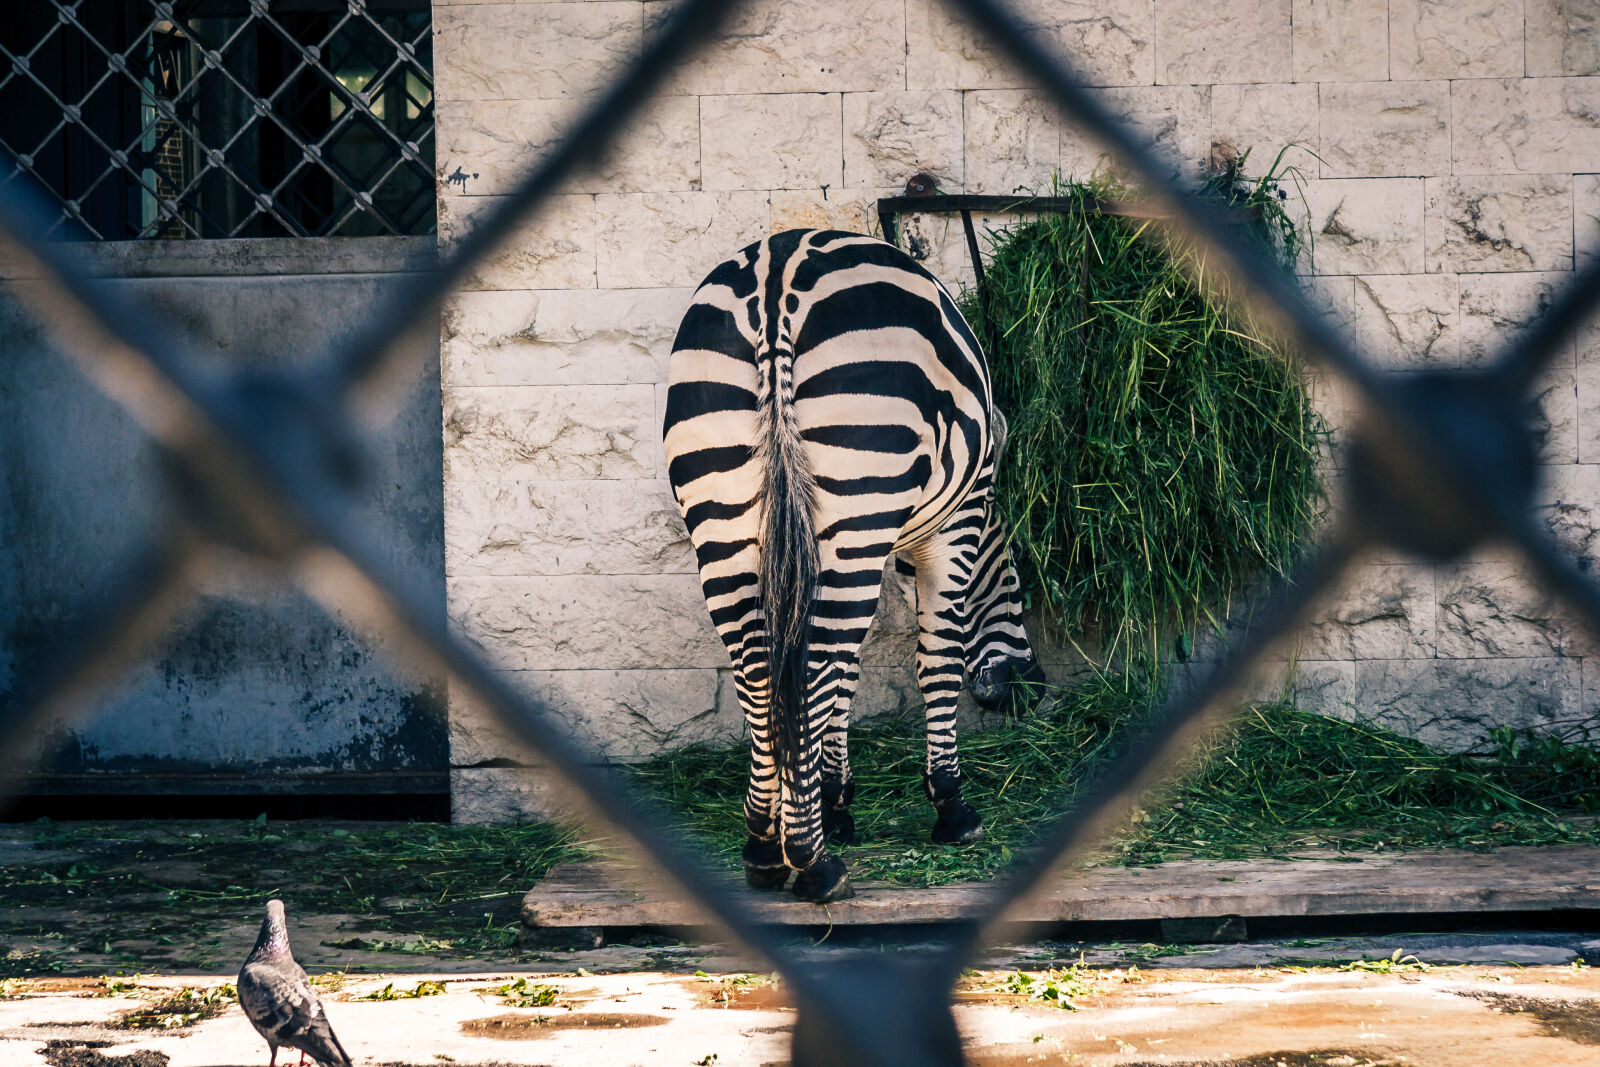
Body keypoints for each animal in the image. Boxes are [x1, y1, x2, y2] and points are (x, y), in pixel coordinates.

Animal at [662, 227, 1049, 902]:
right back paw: (812, 863)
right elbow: (937, 661)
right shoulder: (950, 528)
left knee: (764, 671)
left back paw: (764, 847)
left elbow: (848, 671)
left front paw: (836, 802)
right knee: (811, 666)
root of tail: (775, 277)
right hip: (854, 489)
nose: (1032, 687)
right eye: (1010, 577)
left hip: (727, 520)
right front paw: (951, 807)